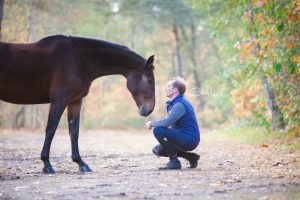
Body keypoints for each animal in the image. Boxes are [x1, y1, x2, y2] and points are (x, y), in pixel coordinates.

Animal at [0, 35, 155, 173]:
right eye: (149, 80)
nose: (149, 109)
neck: (77, 59)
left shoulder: (75, 101)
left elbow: (74, 131)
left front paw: (80, 163)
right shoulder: (59, 100)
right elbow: (51, 129)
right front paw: (47, 164)